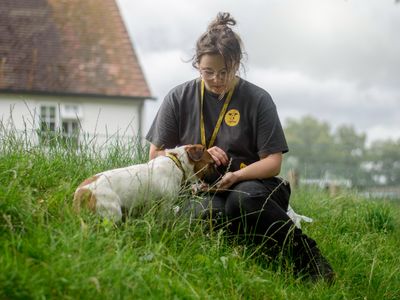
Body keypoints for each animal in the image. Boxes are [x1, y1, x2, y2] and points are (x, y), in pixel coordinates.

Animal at [72, 144, 216, 221]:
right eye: (212, 163)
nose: (219, 176)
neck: (177, 163)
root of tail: (83, 190)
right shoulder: (165, 203)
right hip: (111, 213)